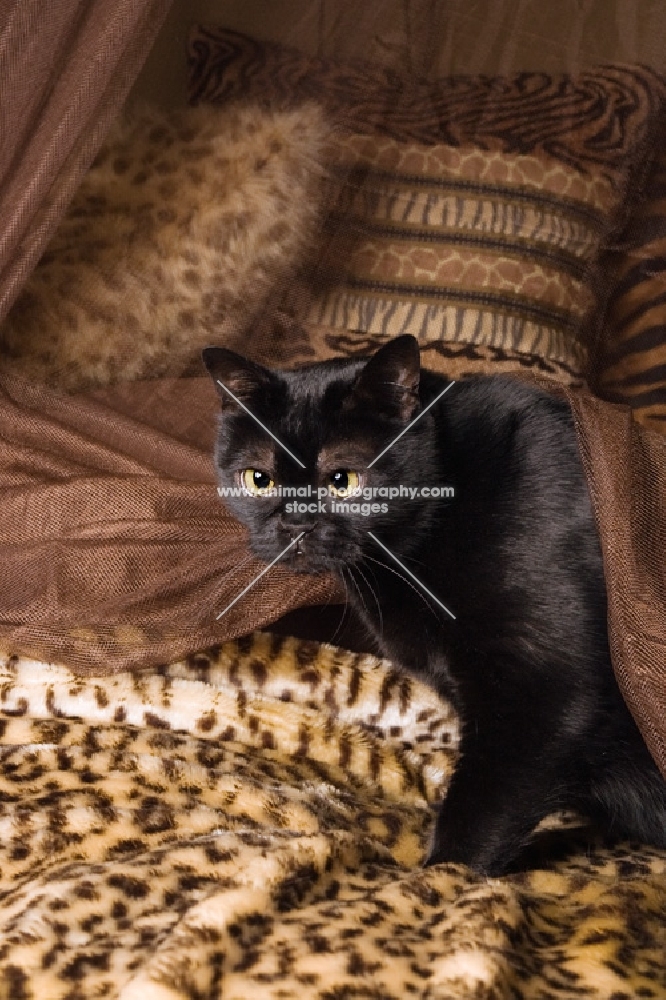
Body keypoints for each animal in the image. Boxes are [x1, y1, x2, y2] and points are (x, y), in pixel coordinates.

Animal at [202, 336, 664, 876]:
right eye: (259, 479)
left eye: (344, 479)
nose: (295, 524)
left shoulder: (547, 687)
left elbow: (482, 809)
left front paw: (444, 875)